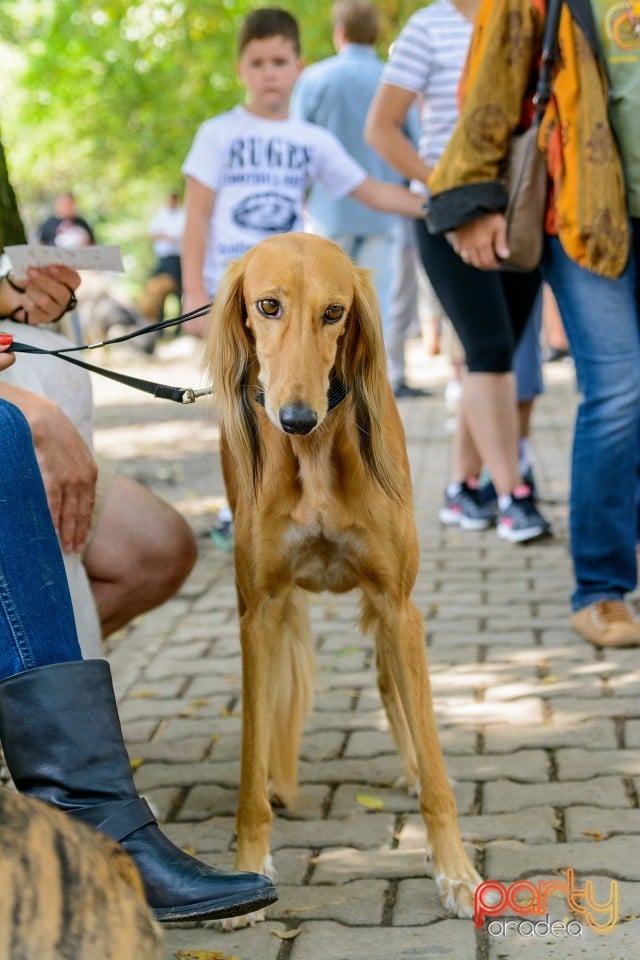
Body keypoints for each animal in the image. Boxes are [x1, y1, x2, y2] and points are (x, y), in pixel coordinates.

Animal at [208, 231, 482, 924]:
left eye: (334, 312)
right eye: (268, 305)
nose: (296, 418)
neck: (313, 457)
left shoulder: (396, 603)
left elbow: (435, 761)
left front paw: (456, 871)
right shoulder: (259, 612)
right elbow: (250, 756)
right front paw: (250, 866)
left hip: (392, 614)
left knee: (392, 687)